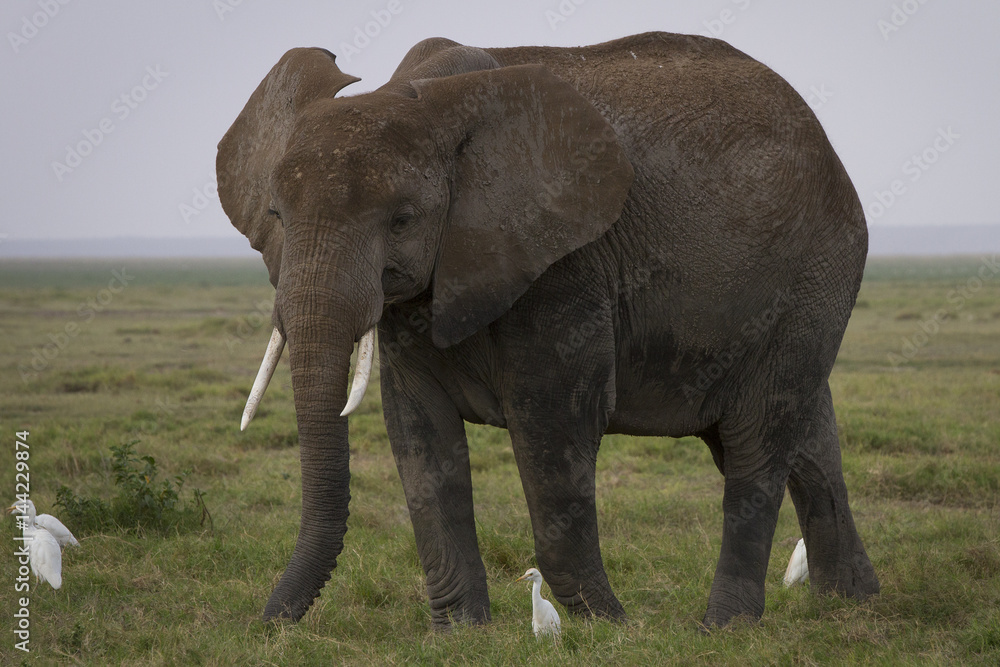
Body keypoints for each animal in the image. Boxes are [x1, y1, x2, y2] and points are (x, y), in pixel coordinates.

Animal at [217, 31, 876, 632]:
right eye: (276, 216)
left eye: (402, 220)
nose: (267, 624)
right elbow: (419, 433)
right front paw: (462, 636)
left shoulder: (563, 262)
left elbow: (554, 422)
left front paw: (609, 626)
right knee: (806, 434)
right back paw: (850, 606)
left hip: (813, 274)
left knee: (756, 439)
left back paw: (724, 628)